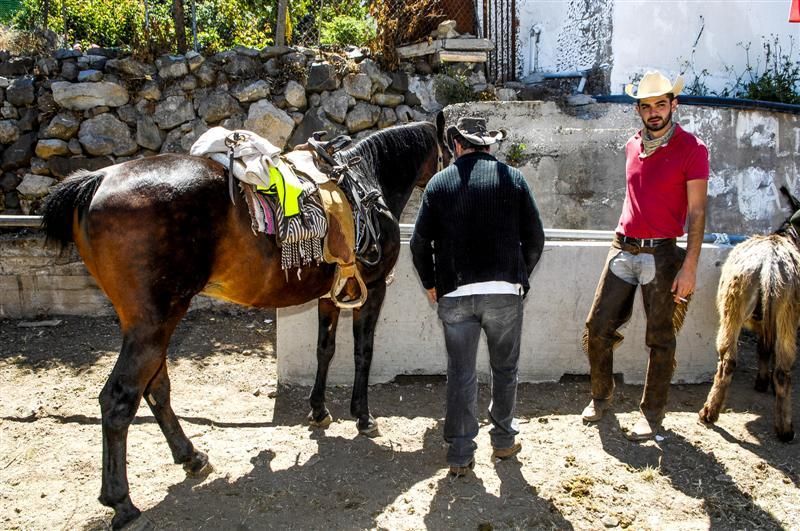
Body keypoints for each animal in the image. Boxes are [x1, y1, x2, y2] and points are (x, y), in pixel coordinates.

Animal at [39, 114, 450, 528]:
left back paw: (191, 457)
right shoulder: (373, 289)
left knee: (156, 387)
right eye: (448, 149)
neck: (367, 181)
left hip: (146, 325)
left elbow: (325, 350)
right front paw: (363, 417)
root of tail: (98, 180)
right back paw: (121, 500)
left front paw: (319, 410)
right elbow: (363, 352)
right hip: (154, 323)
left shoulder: (329, 294)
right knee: (120, 398)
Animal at [700, 185, 800, 442]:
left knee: (740, 362)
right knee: (768, 367)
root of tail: (770, 264)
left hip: (751, 313)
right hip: (773, 317)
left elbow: (764, 348)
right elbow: (764, 349)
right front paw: (762, 382)